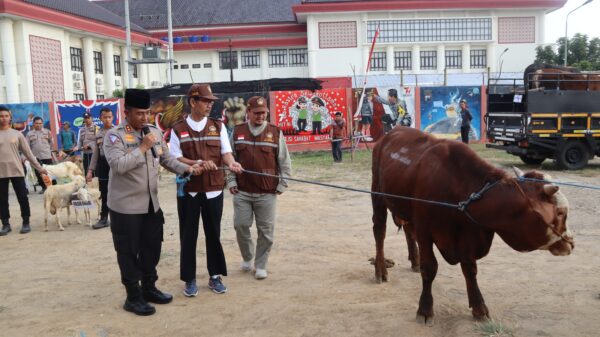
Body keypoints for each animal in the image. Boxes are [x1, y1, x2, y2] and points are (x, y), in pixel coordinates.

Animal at [372, 126, 576, 322]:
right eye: (560, 212)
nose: (571, 243)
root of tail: (389, 134)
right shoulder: (425, 231)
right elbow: (430, 268)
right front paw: (425, 309)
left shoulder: (468, 234)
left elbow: (470, 269)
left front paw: (479, 308)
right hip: (378, 195)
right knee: (379, 232)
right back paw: (380, 269)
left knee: (407, 230)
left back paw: (414, 261)